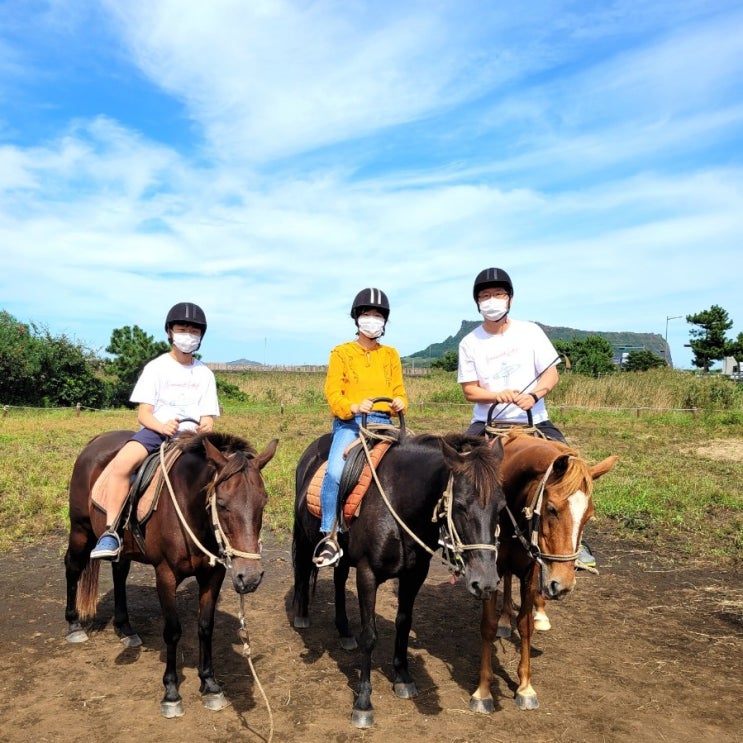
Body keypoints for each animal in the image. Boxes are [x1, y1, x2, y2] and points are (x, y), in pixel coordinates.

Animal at [64, 434, 278, 716]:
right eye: (222, 504)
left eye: (263, 502)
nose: (250, 577)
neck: (189, 511)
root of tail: (97, 440)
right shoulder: (165, 575)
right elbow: (173, 631)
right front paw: (171, 693)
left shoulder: (214, 574)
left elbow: (205, 627)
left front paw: (210, 685)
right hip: (80, 529)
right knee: (72, 567)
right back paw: (73, 624)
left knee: (119, 573)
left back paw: (125, 628)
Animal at [292, 430, 506, 728]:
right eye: (461, 506)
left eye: (502, 506)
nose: (485, 582)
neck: (397, 503)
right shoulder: (367, 574)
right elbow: (369, 635)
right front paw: (363, 703)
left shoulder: (414, 575)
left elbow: (404, 623)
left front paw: (403, 678)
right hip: (303, 534)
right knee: (302, 568)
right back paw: (301, 616)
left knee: (338, 580)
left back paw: (345, 632)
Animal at [470, 434, 616, 712]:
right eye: (551, 509)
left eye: (588, 516)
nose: (564, 584)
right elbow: (488, 625)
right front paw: (483, 691)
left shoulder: (531, 570)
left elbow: (526, 625)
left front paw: (525, 687)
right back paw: (505, 619)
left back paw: (539, 614)